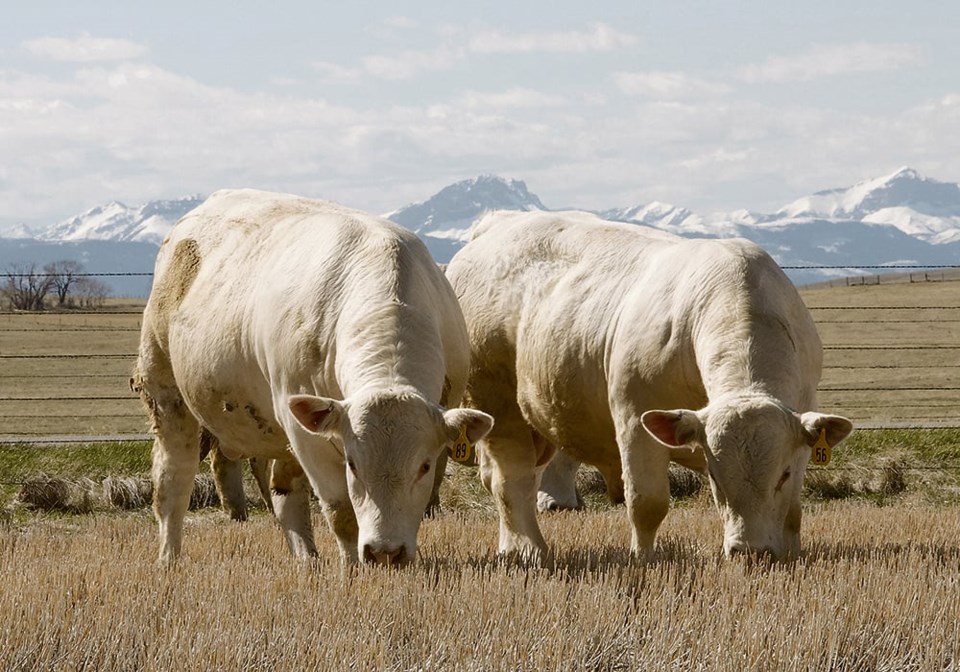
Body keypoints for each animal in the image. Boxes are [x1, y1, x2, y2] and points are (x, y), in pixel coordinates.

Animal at [133, 189, 496, 568]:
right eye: (353, 465)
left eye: (423, 466)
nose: (385, 552)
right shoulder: (309, 438)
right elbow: (341, 511)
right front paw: (352, 567)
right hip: (166, 393)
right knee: (173, 481)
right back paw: (168, 558)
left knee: (284, 491)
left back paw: (306, 557)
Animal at [446, 211, 852, 560]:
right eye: (716, 478)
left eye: (783, 474)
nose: (749, 550)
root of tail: (498, 223)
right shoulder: (634, 419)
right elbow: (647, 503)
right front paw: (643, 558)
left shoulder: (802, 432)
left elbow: (793, 510)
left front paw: (792, 553)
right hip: (496, 402)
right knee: (510, 481)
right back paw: (529, 549)